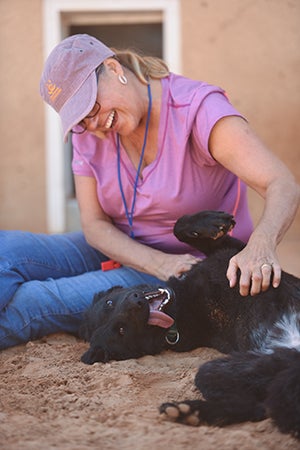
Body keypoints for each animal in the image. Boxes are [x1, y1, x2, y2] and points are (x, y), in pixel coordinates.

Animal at [79, 212, 300, 440]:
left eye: (110, 303)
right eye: (121, 330)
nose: (136, 302)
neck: (182, 303)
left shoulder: (240, 256)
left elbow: (178, 227)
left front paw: (215, 223)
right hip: (225, 369)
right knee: (256, 406)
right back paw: (188, 412)